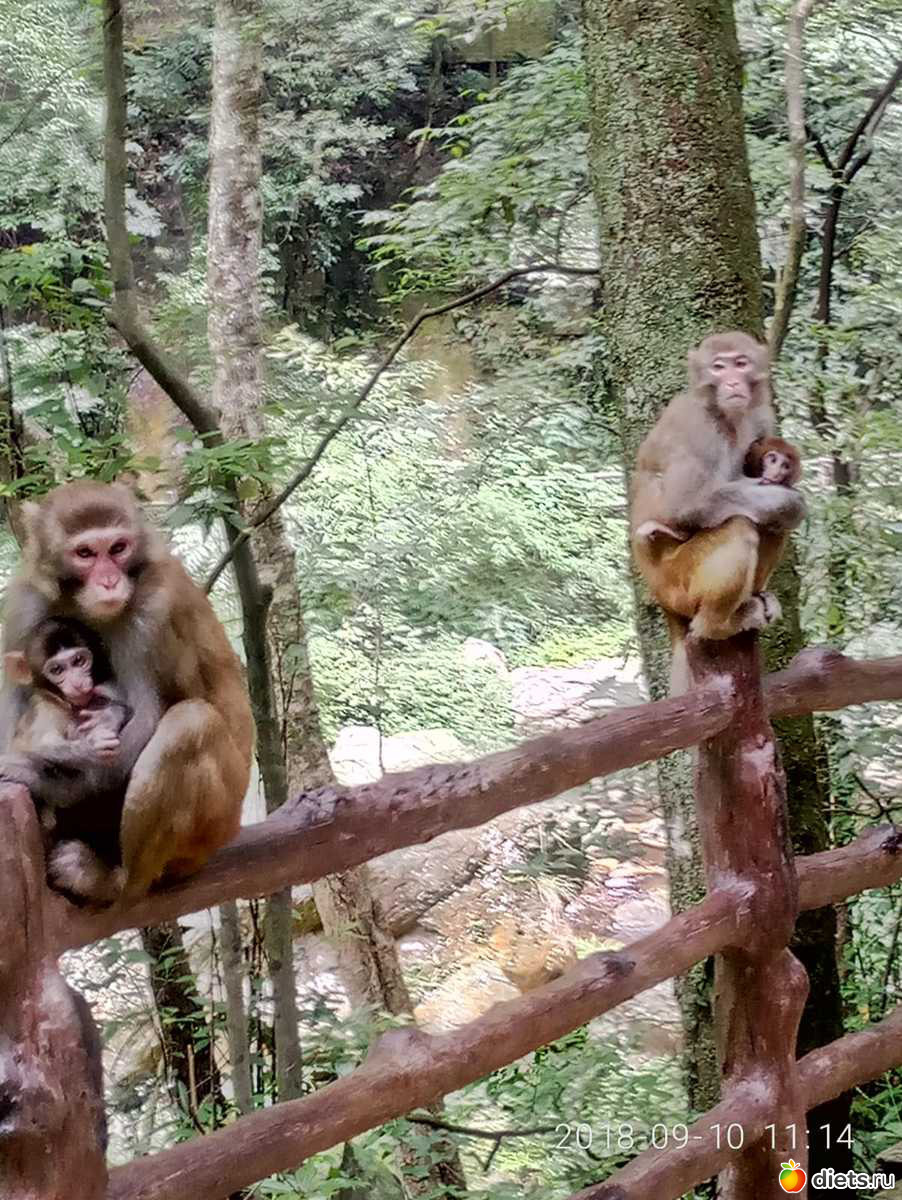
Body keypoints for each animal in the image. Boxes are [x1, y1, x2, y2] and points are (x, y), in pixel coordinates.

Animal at [0, 480, 254, 905]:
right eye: (85, 553)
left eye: (118, 548)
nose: (108, 581)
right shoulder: (23, 605)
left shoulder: (154, 609)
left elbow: (146, 719)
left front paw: (32, 774)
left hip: (209, 831)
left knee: (189, 723)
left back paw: (114, 883)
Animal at [629, 332, 806, 674]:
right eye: (719, 367)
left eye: (741, 363)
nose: (733, 382)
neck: (727, 415)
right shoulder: (698, 428)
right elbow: (686, 505)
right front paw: (788, 499)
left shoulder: (761, 415)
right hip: (677, 582)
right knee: (739, 526)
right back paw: (717, 625)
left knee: (770, 524)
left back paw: (755, 599)